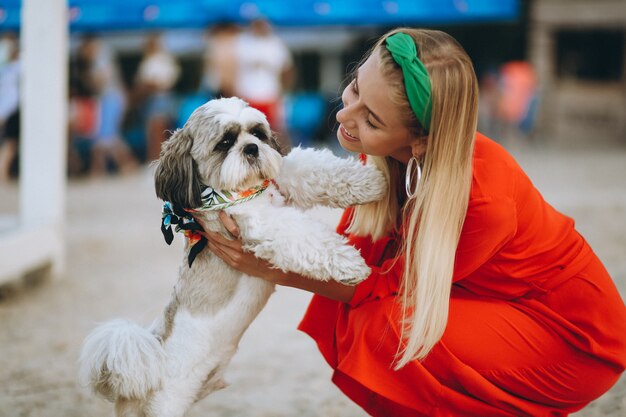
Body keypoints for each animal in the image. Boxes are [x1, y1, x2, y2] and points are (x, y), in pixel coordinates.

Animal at [78, 96, 386, 416]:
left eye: (257, 133)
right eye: (224, 143)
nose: (251, 148)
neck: (241, 191)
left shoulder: (281, 181)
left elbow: (306, 169)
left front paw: (368, 183)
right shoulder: (264, 223)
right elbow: (303, 235)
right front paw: (350, 263)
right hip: (165, 405)